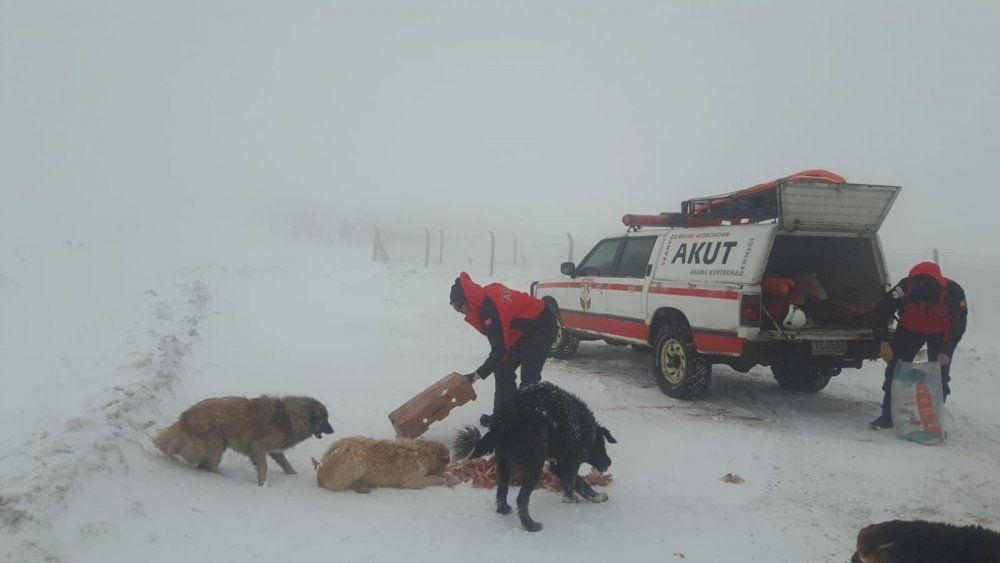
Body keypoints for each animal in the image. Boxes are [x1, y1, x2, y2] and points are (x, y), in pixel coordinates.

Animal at [153, 395, 334, 486]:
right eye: (324, 419)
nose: (333, 431)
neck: (290, 417)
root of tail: (186, 417)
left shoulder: (274, 450)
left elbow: (285, 463)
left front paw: (293, 475)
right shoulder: (259, 446)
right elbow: (264, 466)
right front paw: (263, 484)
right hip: (215, 446)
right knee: (207, 465)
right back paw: (219, 476)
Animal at [313, 436, 452, 493]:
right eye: (445, 462)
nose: (445, 469)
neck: (422, 454)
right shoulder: (412, 481)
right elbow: (432, 479)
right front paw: (442, 479)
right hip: (356, 462)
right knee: (343, 485)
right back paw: (362, 487)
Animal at [453, 381, 616, 532]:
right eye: (603, 445)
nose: (609, 462)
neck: (588, 430)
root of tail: (504, 418)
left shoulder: (557, 465)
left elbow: (574, 482)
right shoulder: (569, 462)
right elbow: (577, 483)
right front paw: (582, 497)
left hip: (505, 463)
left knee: (502, 490)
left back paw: (504, 509)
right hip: (534, 465)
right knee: (521, 499)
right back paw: (530, 525)